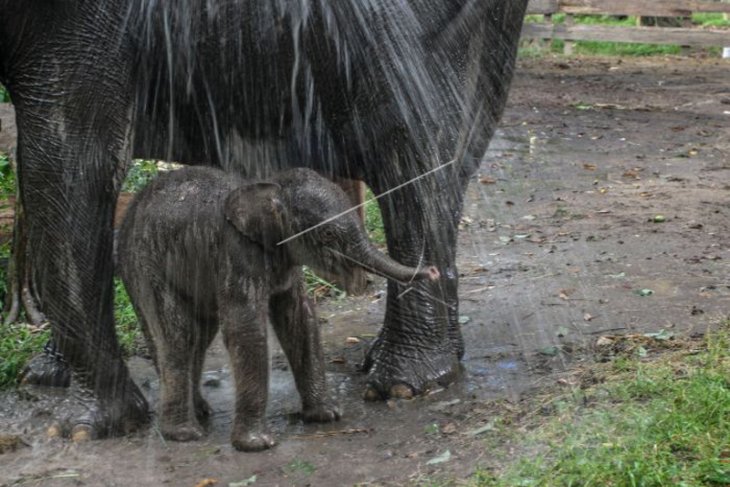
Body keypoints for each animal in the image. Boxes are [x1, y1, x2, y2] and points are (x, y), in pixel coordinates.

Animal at [118, 166, 438, 452]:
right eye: (328, 235)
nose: (433, 271)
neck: (269, 187)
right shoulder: (237, 252)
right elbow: (247, 329)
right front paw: (256, 444)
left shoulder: (284, 257)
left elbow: (299, 317)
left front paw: (326, 415)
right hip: (145, 263)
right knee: (179, 335)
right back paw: (184, 433)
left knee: (196, 336)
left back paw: (199, 412)